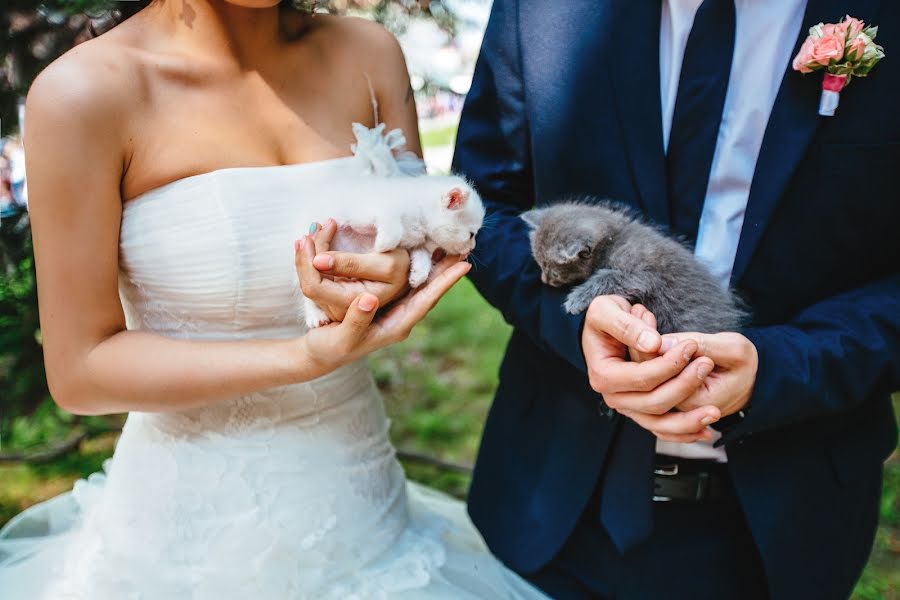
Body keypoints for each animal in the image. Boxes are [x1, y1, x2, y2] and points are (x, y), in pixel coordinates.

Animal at [304, 175, 486, 328]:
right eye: (471, 234)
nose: (472, 247)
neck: (419, 212)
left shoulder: (416, 246)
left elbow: (423, 260)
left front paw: (417, 276)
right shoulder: (365, 211)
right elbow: (392, 223)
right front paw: (381, 245)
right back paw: (315, 316)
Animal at [520, 200, 744, 332]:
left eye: (554, 273)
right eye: (540, 265)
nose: (544, 280)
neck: (615, 238)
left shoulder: (644, 275)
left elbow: (609, 277)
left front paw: (577, 298)